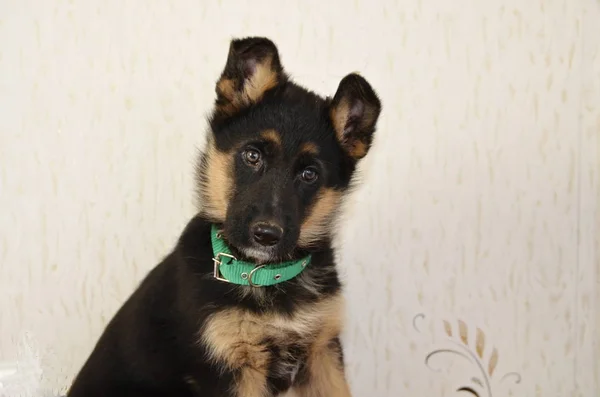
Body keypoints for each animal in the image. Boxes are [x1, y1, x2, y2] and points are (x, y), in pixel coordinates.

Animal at [68, 38, 382, 396]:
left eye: (309, 174)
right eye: (252, 155)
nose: (266, 235)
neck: (262, 276)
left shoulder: (323, 353)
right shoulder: (230, 368)